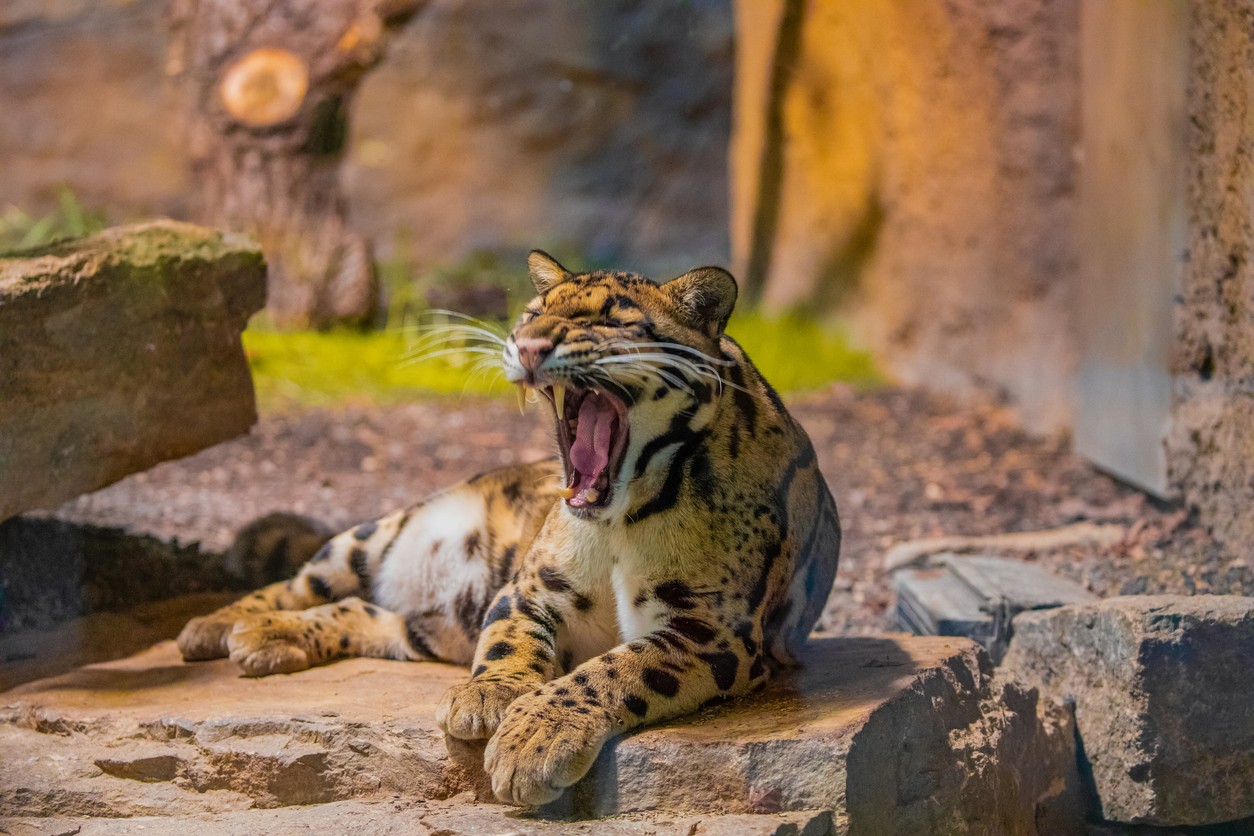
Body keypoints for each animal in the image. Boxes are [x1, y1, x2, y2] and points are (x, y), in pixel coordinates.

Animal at [177, 250, 841, 806]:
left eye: (610, 320)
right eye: (532, 313)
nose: (526, 346)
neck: (621, 518)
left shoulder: (713, 632)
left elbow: (615, 669)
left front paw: (534, 738)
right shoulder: (529, 588)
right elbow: (510, 638)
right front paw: (490, 695)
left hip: (429, 628)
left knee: (365, 614)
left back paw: (266, 637)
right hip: (371, 537)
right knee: (300, 583)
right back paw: (223, 627)